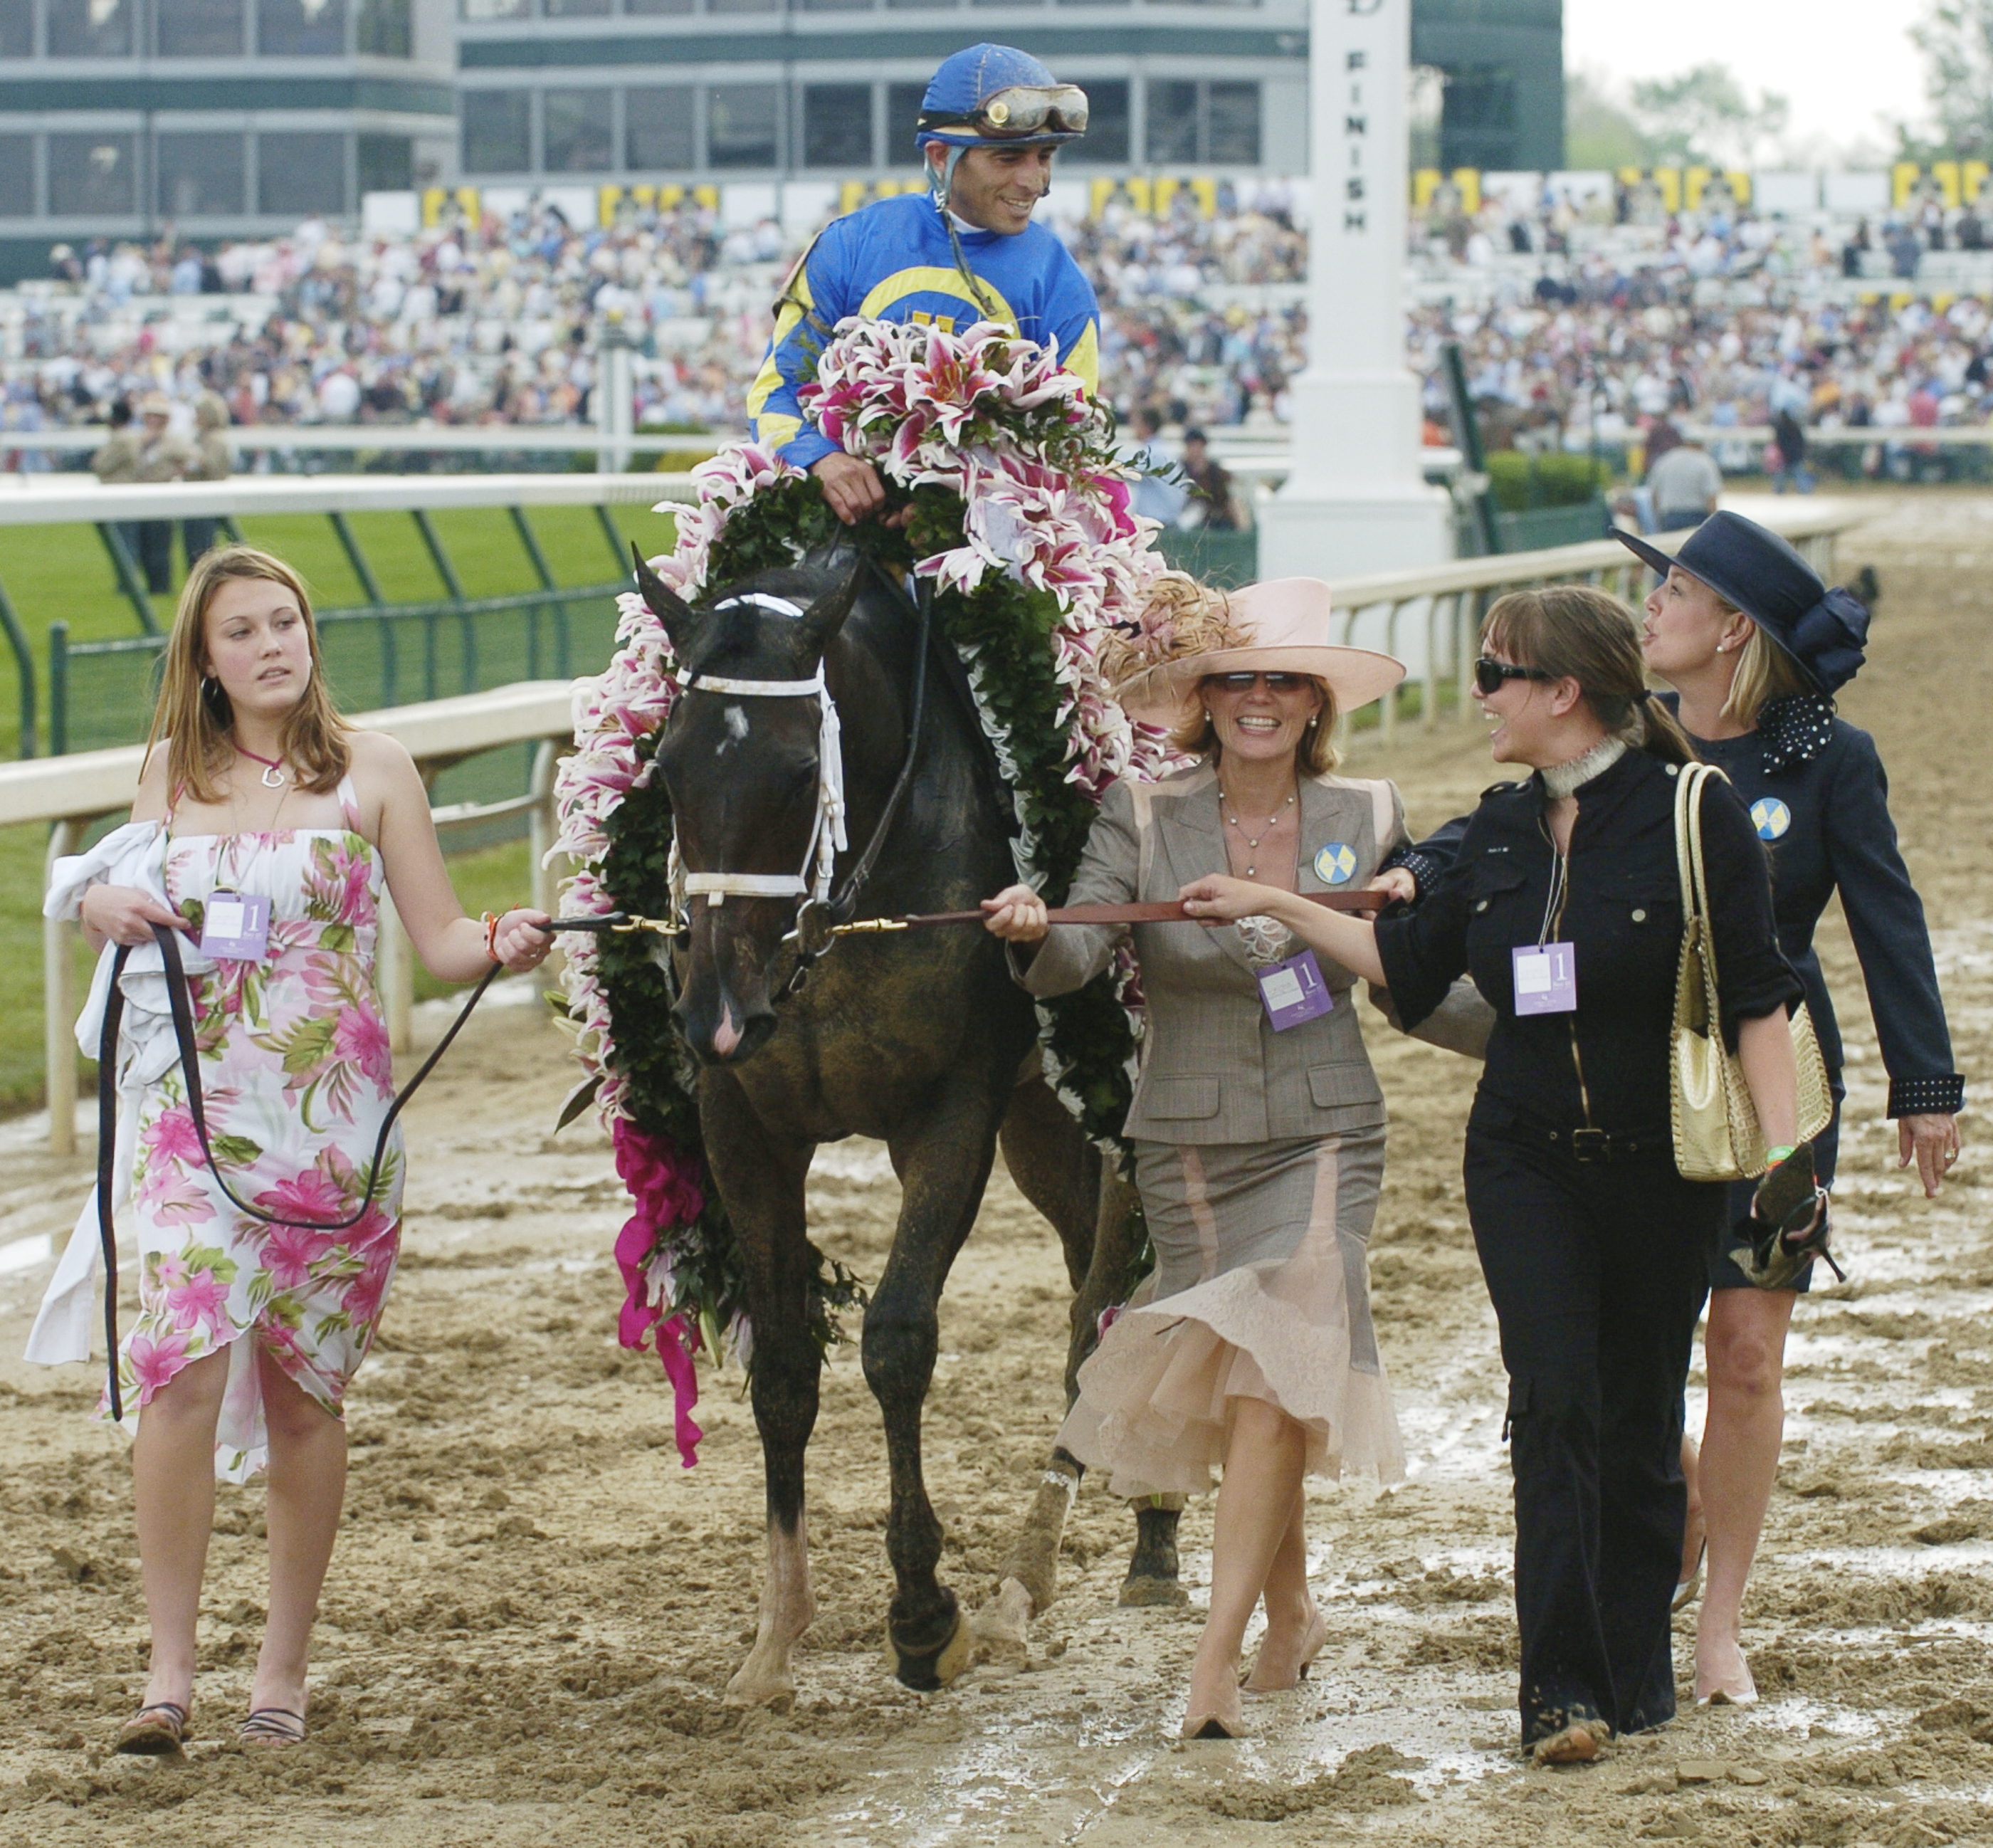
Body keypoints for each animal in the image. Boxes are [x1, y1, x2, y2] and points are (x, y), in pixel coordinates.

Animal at [621, 546, 1179, 1706]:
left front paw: (924, 1613)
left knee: (1118, 1298)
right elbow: (785, 1365)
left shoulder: (950, 1109)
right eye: (668, 771)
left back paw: (1060, 1564)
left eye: (799, 775)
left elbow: (896, 1339)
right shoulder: (743, 1123)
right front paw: (777, 1632)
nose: (715, 1011)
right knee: (1092, 1276)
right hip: (1042, 1119)